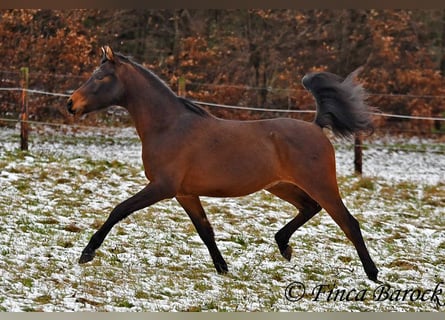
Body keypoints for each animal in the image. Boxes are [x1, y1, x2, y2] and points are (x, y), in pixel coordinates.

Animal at [67, 45, 378, 282]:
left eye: (101, 77)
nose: (71, 104)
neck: (168, 126)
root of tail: (316, 126)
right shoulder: (185, 193)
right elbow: (206, 231)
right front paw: (223, 269)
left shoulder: (161, 187)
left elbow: (118, 210)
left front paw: (87, 253)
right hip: (280, 185)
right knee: (309, 208)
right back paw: (283, 245)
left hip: (320, 184)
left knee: (349, 223)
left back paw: (373, 274)